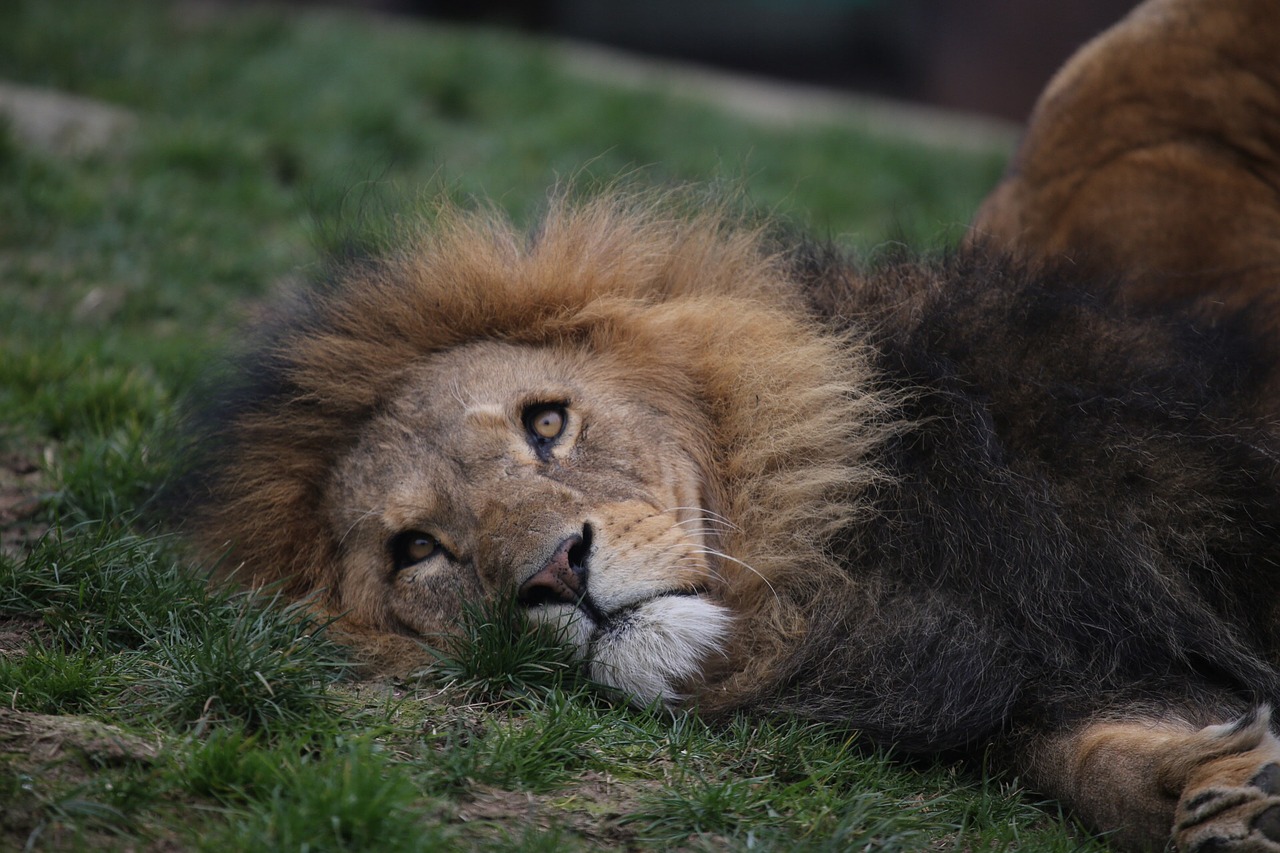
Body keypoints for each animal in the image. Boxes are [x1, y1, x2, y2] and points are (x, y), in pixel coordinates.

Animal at [172, 1, 1280, 850]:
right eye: (416, 550)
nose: (555, 573)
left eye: (546, 424)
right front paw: (1208, 793)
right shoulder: (1018, 673)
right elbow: (1082, 755)